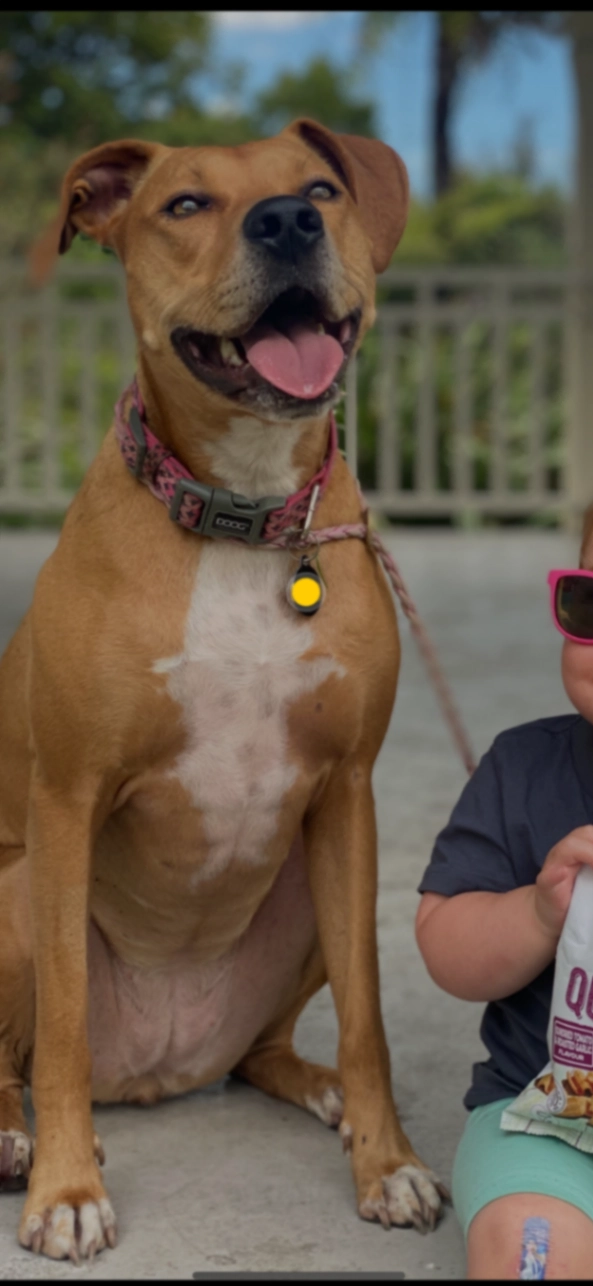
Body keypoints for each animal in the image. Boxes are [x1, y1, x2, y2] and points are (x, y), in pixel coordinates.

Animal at [0, 117, 446, 1260]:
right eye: (185, 204)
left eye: (322, 188)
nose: (284, 221)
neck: (244, 512)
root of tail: (158, 1071)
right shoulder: (64, 798)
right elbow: (62, 1027)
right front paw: (67, 1188)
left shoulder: (347, 797)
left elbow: (372, 1018)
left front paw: (387, 1161)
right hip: (14, 891)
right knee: (19, 1058)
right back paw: (20, 1138)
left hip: (305, 894)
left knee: (260, 1050)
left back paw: (315, 1085)